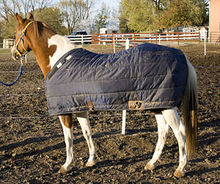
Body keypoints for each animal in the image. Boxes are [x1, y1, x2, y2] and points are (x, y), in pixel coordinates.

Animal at [11, 12, 199, 177]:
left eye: (17, 34)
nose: (13, 53)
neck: (59, 61)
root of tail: (181, 55)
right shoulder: (80, 108)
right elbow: (87, 132)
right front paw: (91, 160)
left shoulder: (65, 111)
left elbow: (68, 138)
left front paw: (66, 165)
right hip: (157, 104)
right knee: (163, 131)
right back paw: (151, 164)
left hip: (167, 106)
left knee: (180, 131)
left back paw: (180, 169)